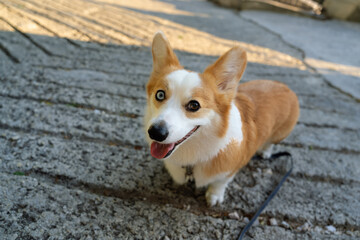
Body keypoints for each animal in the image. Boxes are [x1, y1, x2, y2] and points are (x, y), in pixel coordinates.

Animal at [143, 31, 298, 206]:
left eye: (194, 105)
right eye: (160, 95)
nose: (155, 132)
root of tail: (285, 86)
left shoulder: (229, 170)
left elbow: (219, 183)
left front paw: (214, 197)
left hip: (280, 134)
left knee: (271, 143)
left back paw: (265, 152)